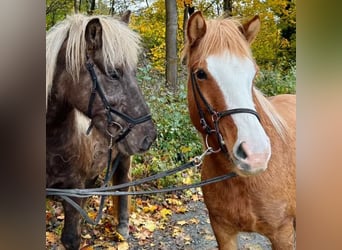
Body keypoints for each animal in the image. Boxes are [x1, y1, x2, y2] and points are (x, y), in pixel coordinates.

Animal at [46, 12, 156, 250]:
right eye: (114, 73)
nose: (148, 137)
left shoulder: (73, 190)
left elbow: (71, 238)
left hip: (123, 159)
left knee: (123, 184)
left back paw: (122, 227)